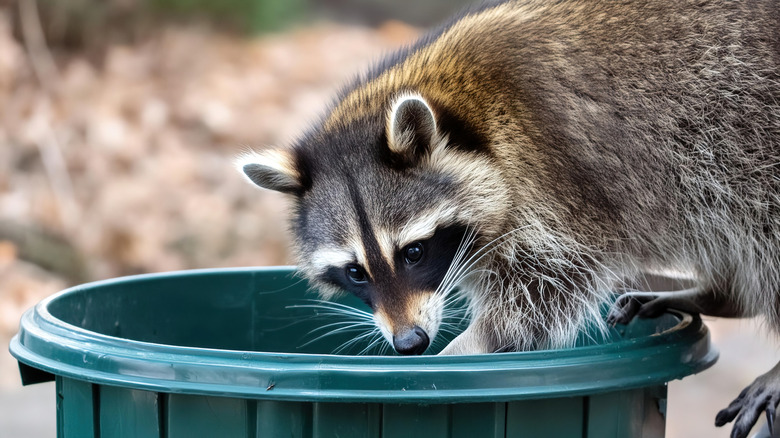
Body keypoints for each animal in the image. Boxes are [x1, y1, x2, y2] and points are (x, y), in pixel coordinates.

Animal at [238, 1, 780, 436]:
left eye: (413, 251)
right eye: (355, 271)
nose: (410, 343)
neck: (460, 112)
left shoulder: (558, 178)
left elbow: (544, 290)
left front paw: (464, 349)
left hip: (750, 141)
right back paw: (723, 294)